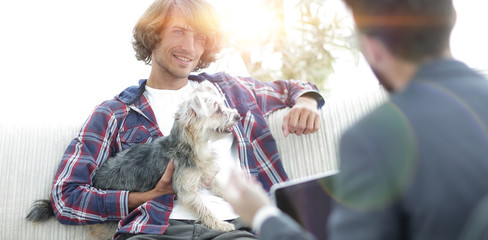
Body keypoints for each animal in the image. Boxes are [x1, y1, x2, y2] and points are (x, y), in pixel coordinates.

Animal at [25, 79, 243, 237]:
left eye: (224, 105)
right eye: (217, 111)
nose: (238, 116)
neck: (193, 146)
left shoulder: (208, 177)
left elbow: (223, 187)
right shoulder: (187, 190)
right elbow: (204, 208)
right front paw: (220, 224)